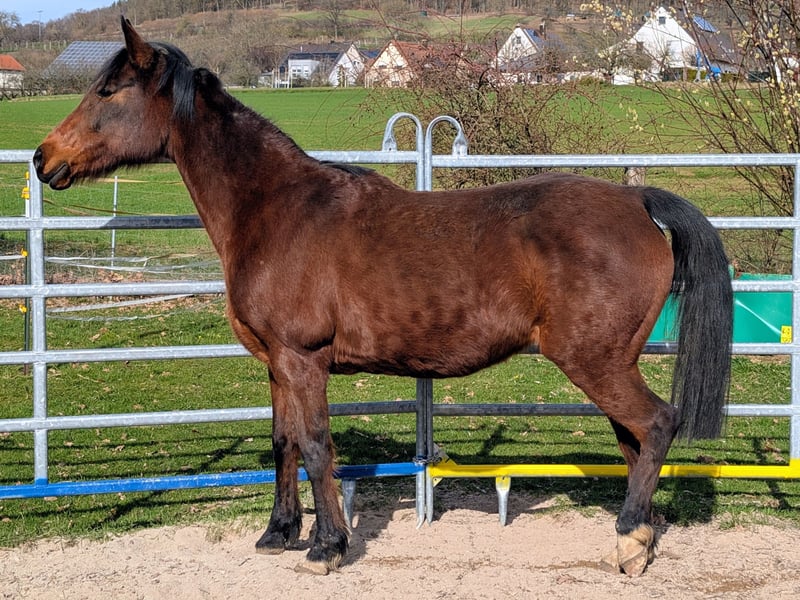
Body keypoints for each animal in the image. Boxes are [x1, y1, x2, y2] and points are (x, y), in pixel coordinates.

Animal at [34, 17, 732, 577]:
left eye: (108, 90)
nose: (43, 158)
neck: (276, 209)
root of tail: (635, 199)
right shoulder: (275, 365)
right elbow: (285, 444)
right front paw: (278, 533)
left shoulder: (303, 360)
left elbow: (319, 447)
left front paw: (326, 548)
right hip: (610, 362)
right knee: (635, 441)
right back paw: (638, 538)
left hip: (595, 360)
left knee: (656, 424)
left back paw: (629, 542)